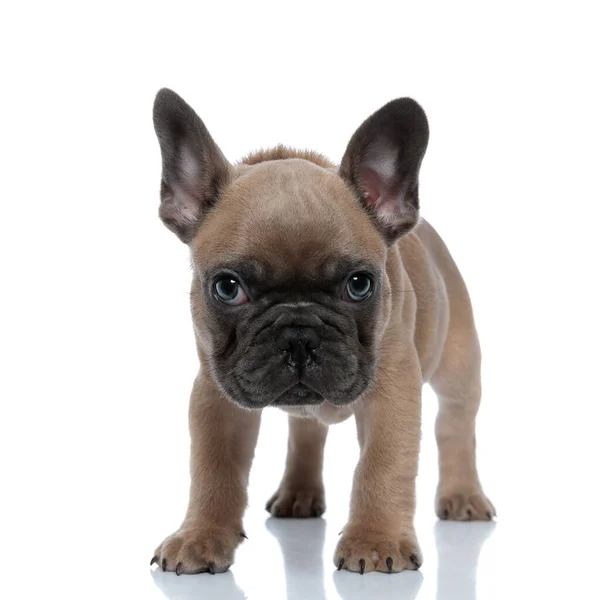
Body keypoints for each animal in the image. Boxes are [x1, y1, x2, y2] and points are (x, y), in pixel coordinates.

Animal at [149, 89, 492, 576]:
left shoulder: (394, 390)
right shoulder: (216, 396)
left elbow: (382, 464)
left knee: (457, 424)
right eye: (227, 287)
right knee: (307, 433)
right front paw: (200, 536)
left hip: (459, 362)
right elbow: (214, 469)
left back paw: (463, 495)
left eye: (359, 284)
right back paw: (299, 494)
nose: (298, 334)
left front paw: (375, 541)